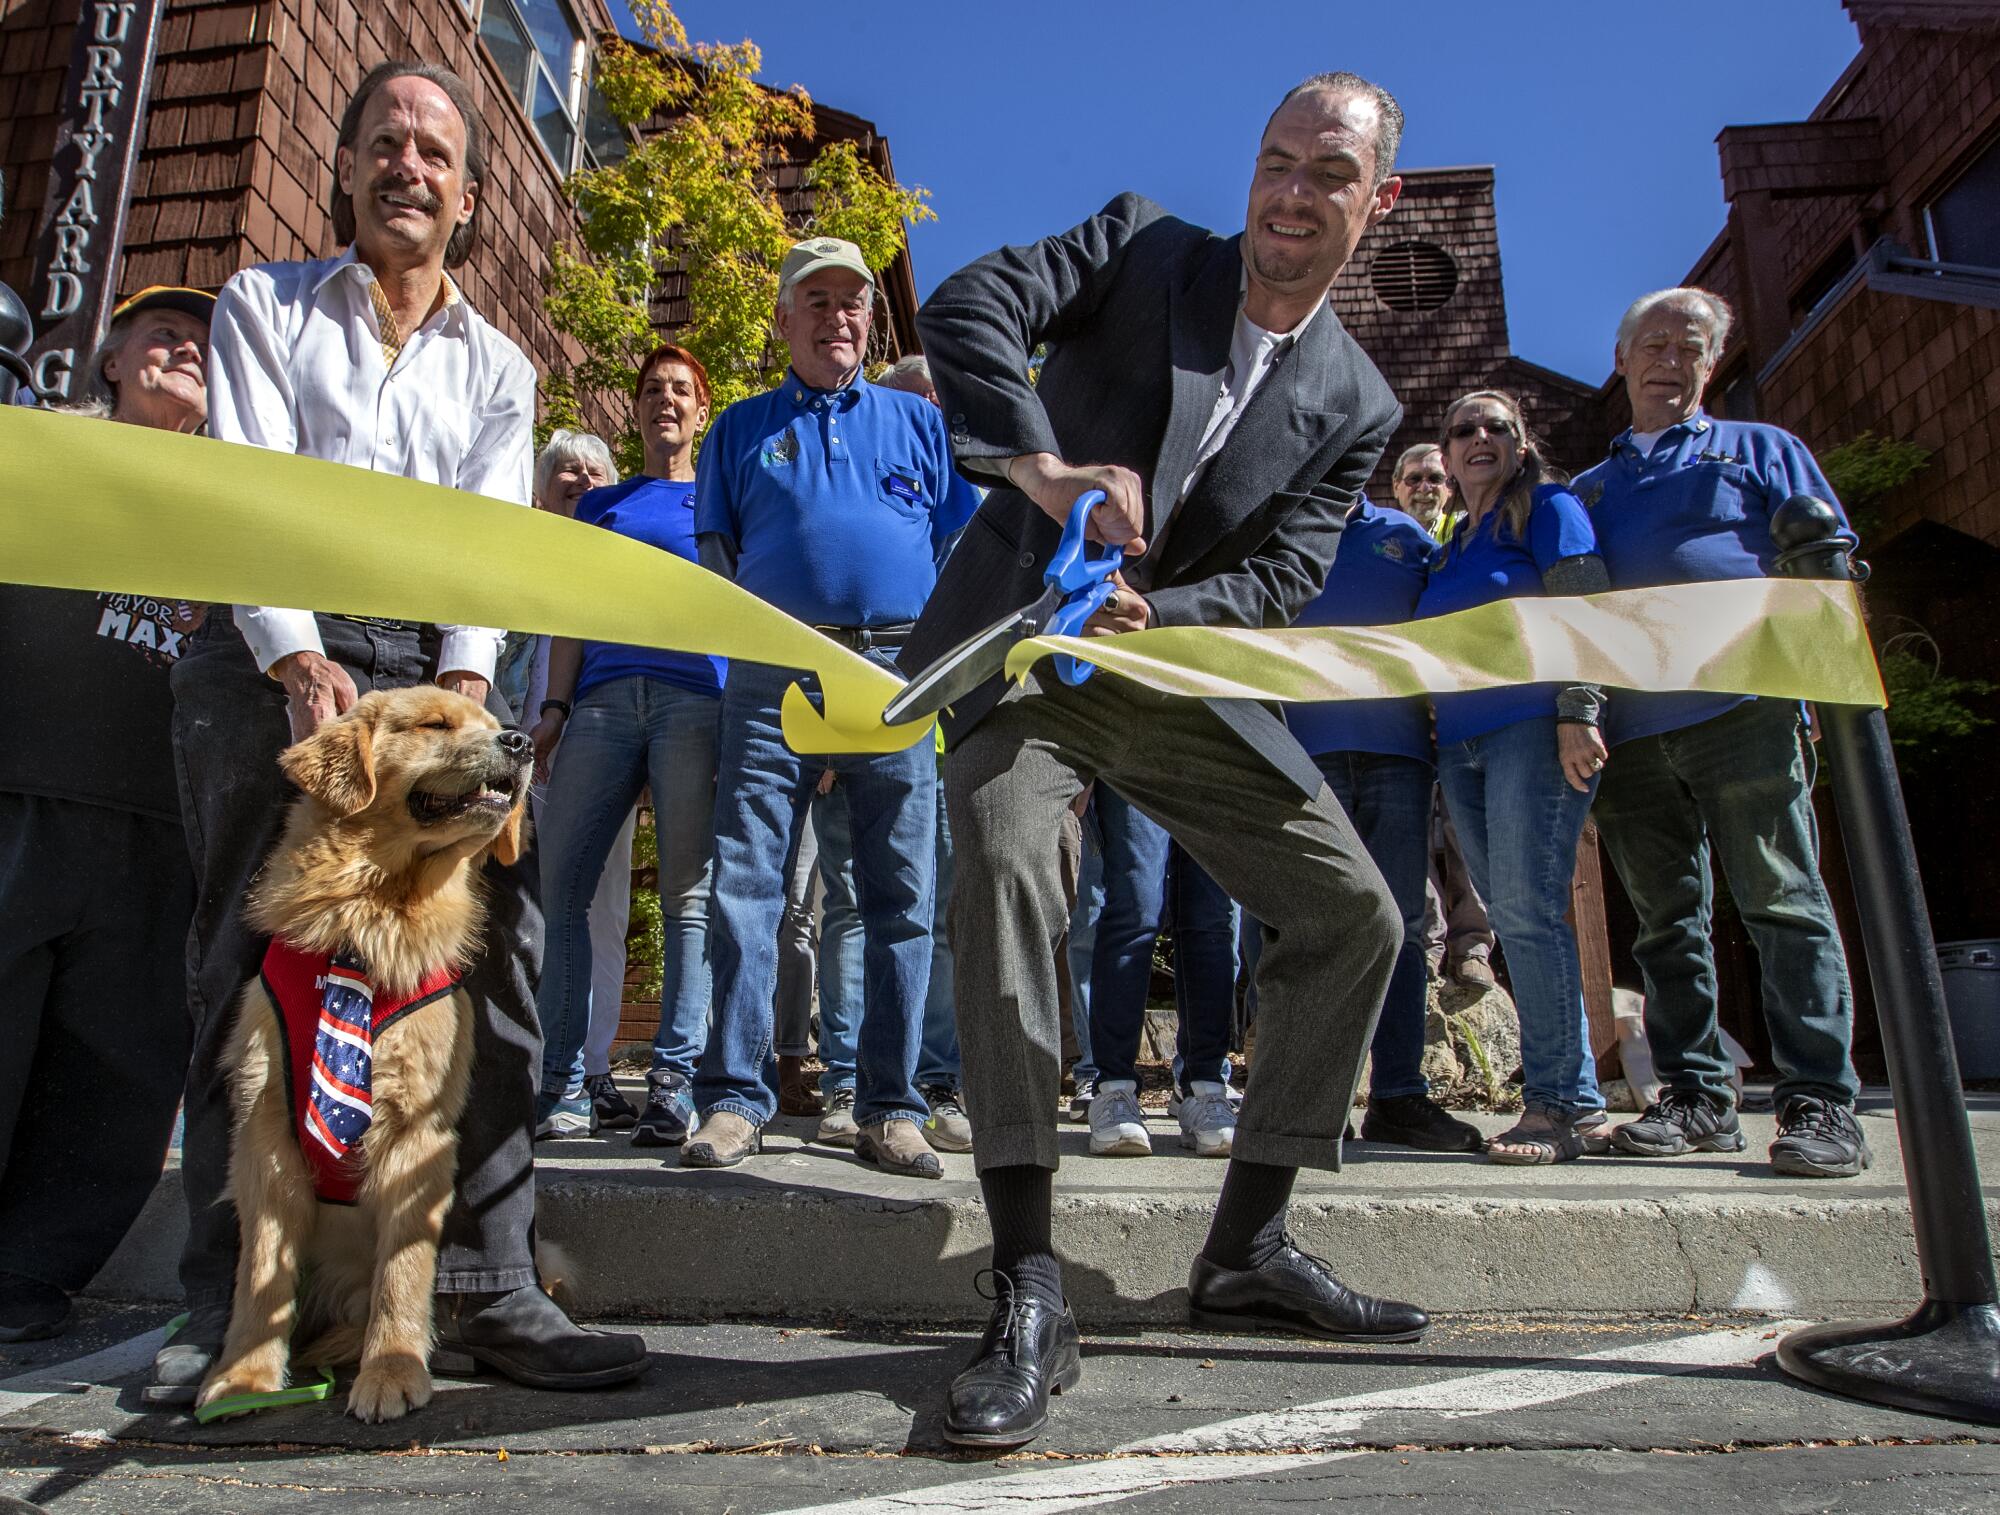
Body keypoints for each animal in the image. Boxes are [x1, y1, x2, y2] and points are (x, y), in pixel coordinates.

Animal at [197, 687, 532, 1423]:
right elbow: (260, 1276)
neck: (370, 919)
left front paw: (392, 1370)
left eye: (493, 723)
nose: (522, 741)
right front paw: (243, 1378)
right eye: (434, 724)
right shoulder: (264, 1132)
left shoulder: (417, 1130)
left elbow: (402, 1272)